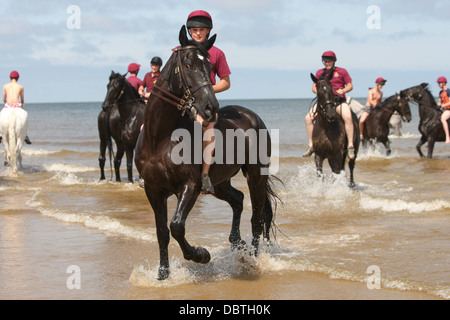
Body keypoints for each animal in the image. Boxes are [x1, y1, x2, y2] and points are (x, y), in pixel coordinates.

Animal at [134, 25, 282, 280]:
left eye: (210, 66)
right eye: (188, 65)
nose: (211, 108)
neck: (160, 140)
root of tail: (252, 116)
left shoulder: (189, 186)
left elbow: (177, 226)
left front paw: (200, 255)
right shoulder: (153, 190)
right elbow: (162, 232)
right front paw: (163, 275)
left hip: (256, 175)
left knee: (256, 217)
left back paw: (251, 259)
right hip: (219, 182)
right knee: (238, 200)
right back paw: (236, 242)